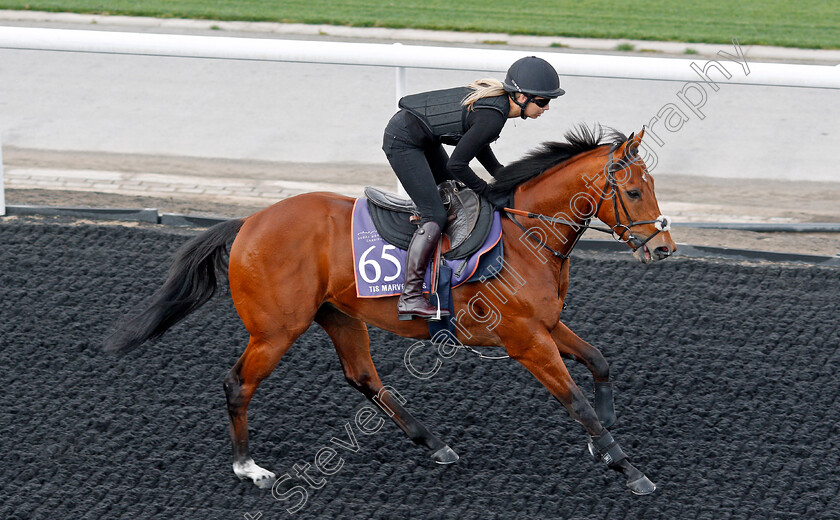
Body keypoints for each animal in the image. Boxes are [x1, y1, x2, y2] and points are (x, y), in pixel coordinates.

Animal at [103, 124, 676, 494]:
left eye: (651, 186)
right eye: (632, 191)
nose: (665, 248)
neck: (525, 237)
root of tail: (248, 222)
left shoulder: (546, 323)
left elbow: (598, 361)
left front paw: (604, 441)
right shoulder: (526, 340)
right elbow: (575, 400)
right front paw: (629, 469)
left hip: (339, 315)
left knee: (362, 377)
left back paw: (435, 443)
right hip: (275, 330)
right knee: (238, 384)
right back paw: (249, 468)